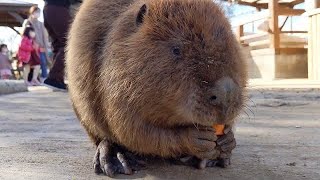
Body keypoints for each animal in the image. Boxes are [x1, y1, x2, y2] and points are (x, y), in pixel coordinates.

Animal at [66, 0, 248, 177]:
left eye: (231, 45)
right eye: (176, 49)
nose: (227, 94)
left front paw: (227, 140)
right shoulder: (116, 83)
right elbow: (133, 130)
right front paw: (196, 139)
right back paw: (116, 158)